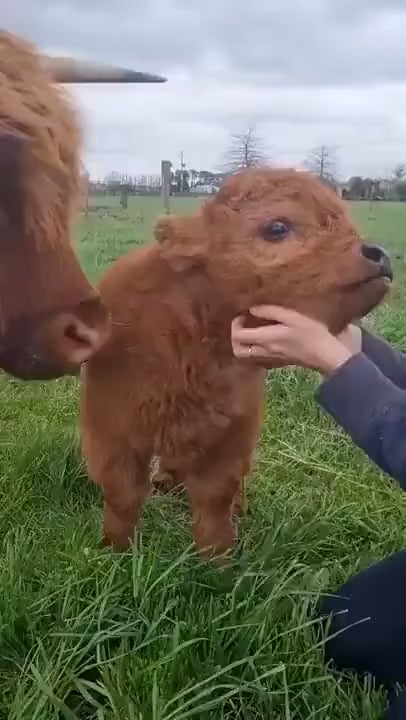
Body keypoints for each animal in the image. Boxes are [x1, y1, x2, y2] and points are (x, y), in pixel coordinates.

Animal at [79, 168, 393, 559]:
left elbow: (215, 502)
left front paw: (217, 561)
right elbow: (122, 497)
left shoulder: (231, 436)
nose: (379, 254)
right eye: (277, 227)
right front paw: (115, 552)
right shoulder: (112, 434)